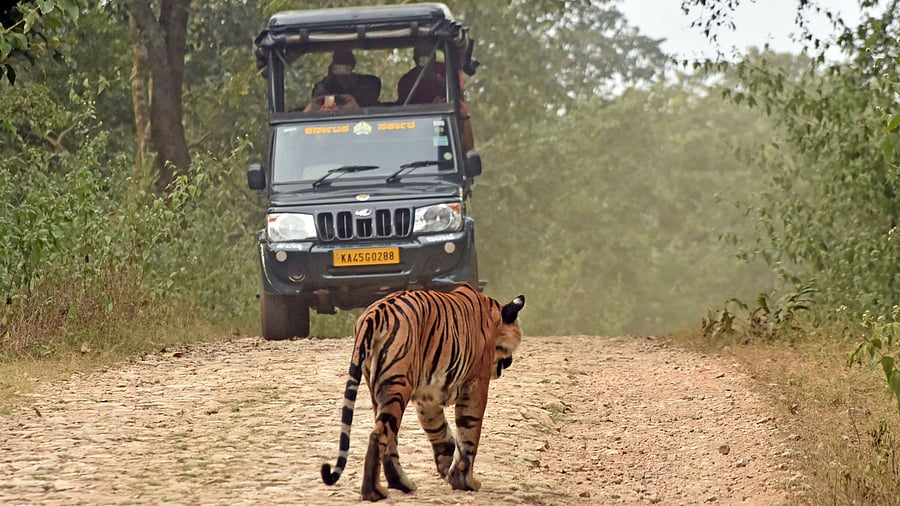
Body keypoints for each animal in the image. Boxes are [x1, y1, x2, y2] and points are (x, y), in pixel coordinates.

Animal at [320, 283, 526, 501]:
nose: (510, 362)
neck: (492, 315)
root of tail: (375, 313)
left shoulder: (428, 399)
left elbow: (439, 430)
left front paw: (447, 468)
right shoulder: (475, 385)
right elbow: (469, 433)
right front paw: (465, 481)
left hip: (378, 390)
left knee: (389, 439)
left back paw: (401, 484)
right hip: (397, 385)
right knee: (379, 435)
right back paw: (373, 492)